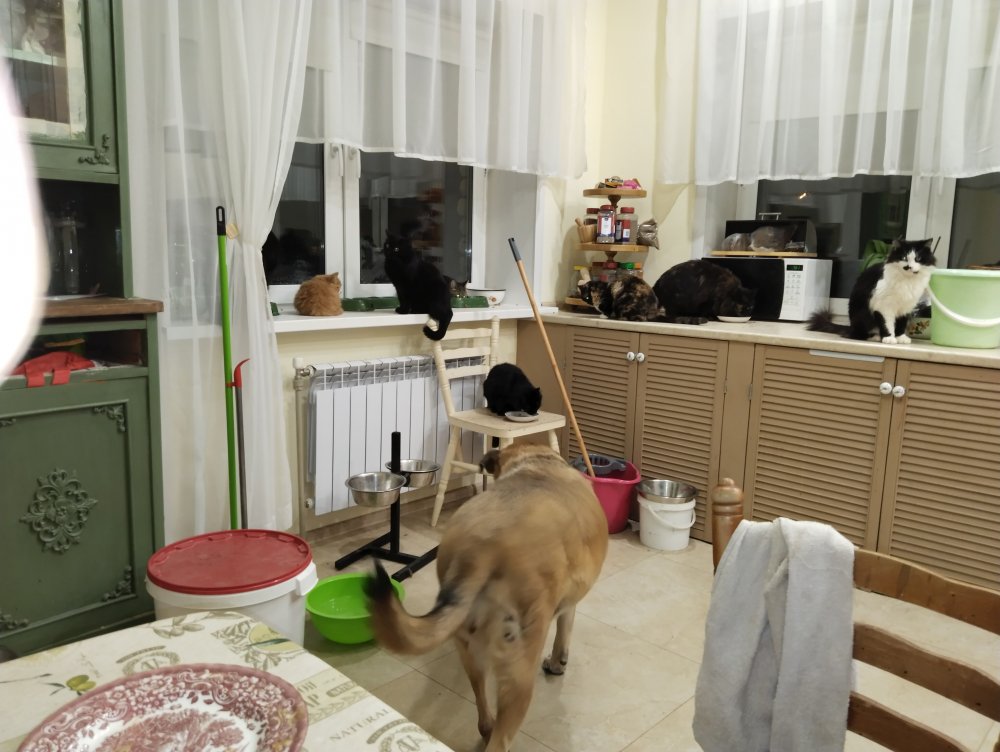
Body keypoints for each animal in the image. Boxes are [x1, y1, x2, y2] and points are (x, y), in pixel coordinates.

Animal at [366, 443, 608, 752]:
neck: (537, 461)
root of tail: (482, 550)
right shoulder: (569, 605)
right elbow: (564, 632)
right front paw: (557, 664)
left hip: (468, 647)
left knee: (480, 697)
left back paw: (486, 725)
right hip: (519, 671)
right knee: (501, 736)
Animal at [807, 238, 937, 344]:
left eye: (918, 259)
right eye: (904, 258)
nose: (908, 267)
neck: (907, 282)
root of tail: (851, 326)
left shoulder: (905, 308)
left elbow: (901, 324)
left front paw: (900, 337)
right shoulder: (883, 306)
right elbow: (887, 324)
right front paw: (889, 338)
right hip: (863, 316)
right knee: (856, 335)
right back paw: (876, 337)